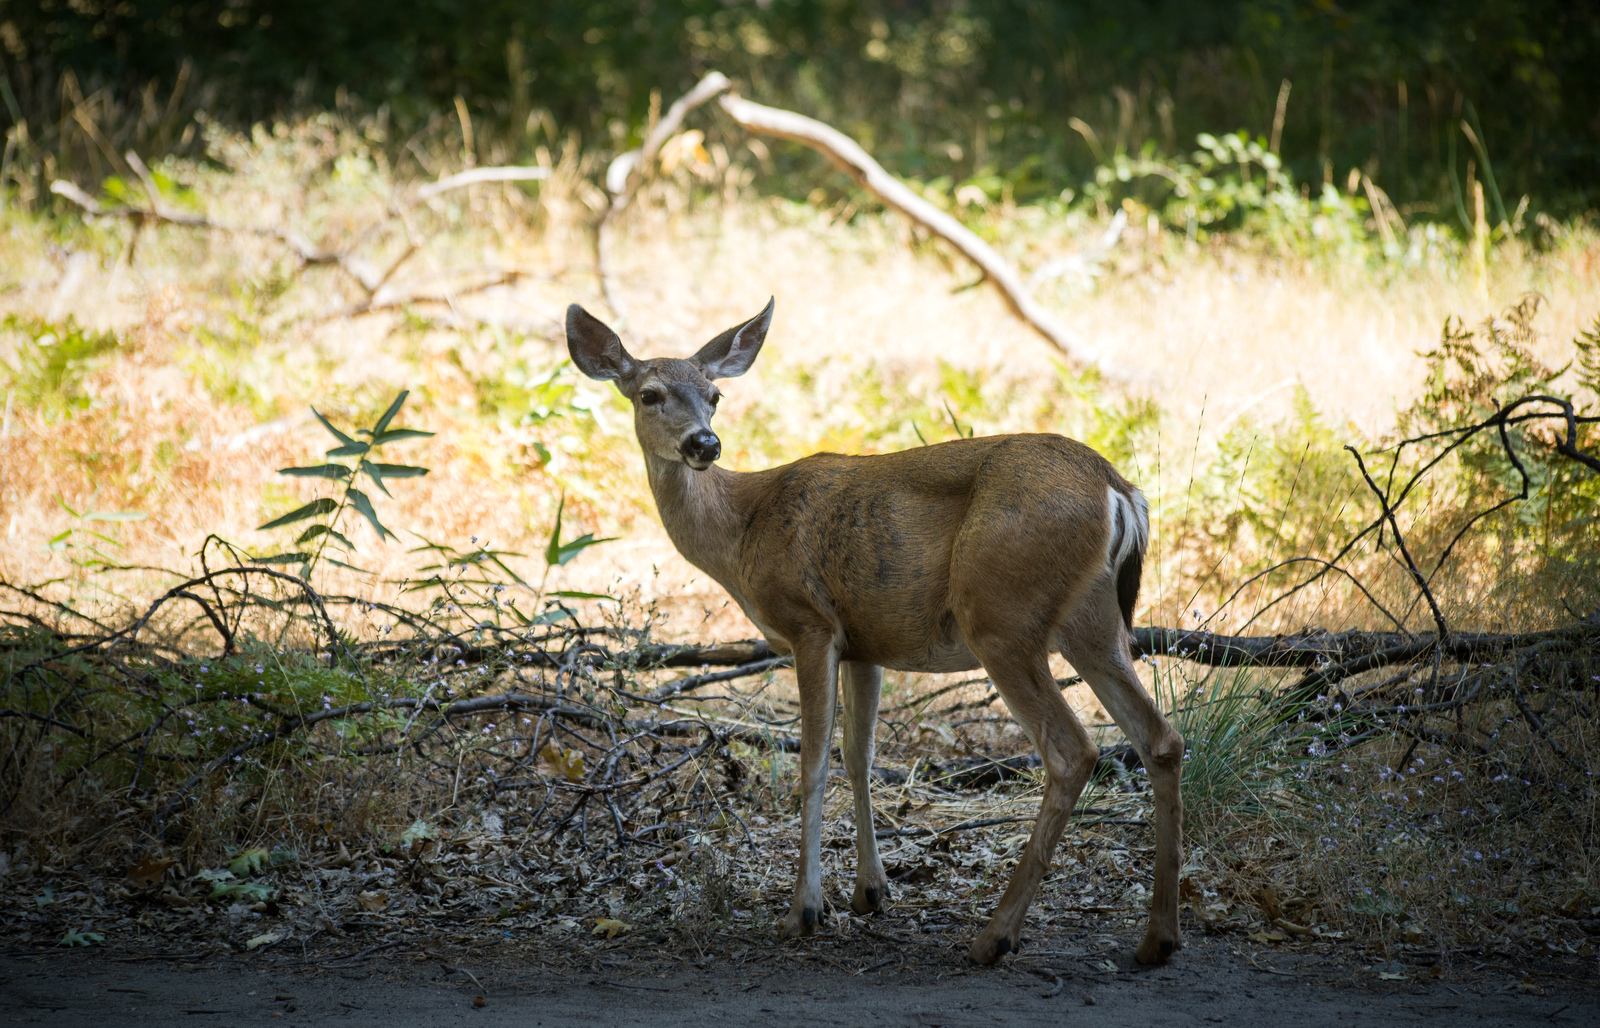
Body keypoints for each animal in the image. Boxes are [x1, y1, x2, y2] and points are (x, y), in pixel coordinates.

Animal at [565, 298, 1184, 966]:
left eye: (714, 394)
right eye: (650, 394)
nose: (704, 442)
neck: (743, 530)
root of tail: (1119, 490)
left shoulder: (810, 624)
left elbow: (813, 762)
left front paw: (804, 911)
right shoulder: (866, 641)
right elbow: (859, 755)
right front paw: (870, 891)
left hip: (1001, 614)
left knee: (1073, 750)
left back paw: (994, 936)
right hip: (1094, 623)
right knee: (1161, 739)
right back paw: (1158, 938)